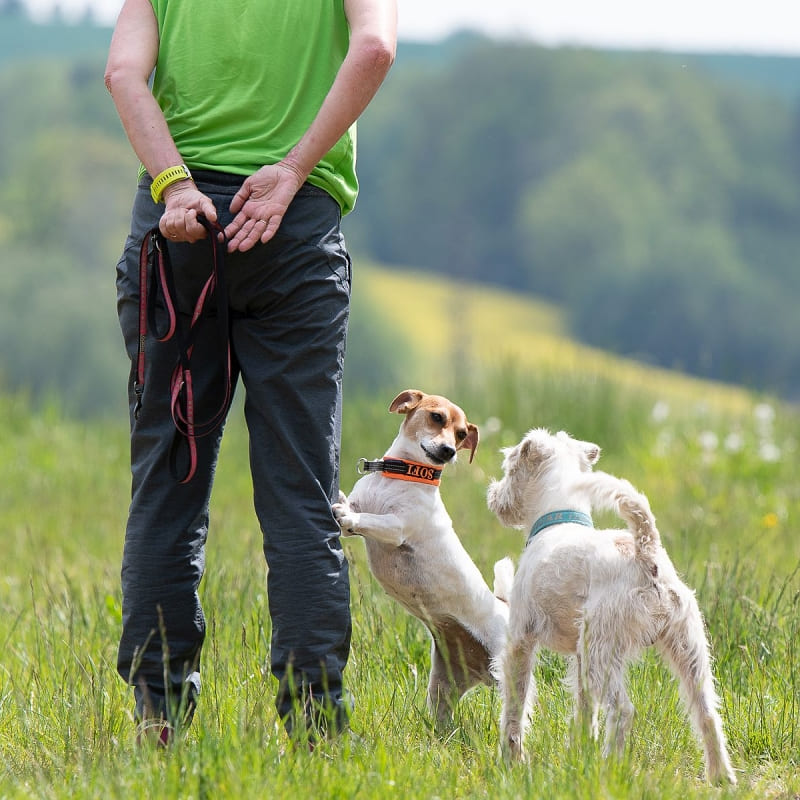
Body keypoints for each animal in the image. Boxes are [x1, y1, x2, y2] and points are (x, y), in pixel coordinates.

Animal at [332, 390, 512, 720]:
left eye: (462, 434)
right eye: (437, 417)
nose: (449, 451)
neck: (403, 476)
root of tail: (504, 605)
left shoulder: (397, 527)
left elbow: (369, 520)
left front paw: (347, 515)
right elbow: (353, 508)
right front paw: (342, 503)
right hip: (443, 687)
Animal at [484, 428, 736, 784]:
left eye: (509, 467)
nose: (493, 496)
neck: (558, 516)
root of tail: (646, 554)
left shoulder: (520, 640)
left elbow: (515, 705)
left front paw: (512, 760)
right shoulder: (579, 655)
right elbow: (584, 708)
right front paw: (578, 753)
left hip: (603, 654)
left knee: (623, 710)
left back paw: (609, 766)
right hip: (687, 649)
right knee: (707, 713)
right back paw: (720, 776)